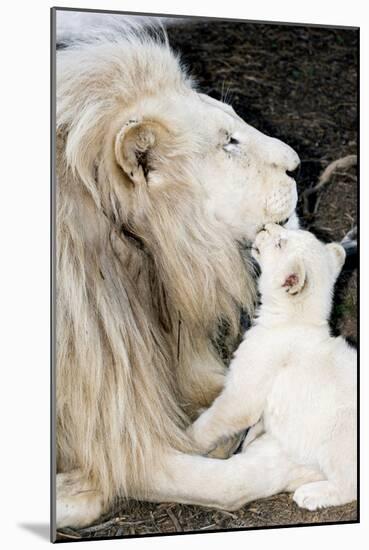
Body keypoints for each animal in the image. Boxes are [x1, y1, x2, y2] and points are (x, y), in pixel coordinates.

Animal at [188, 224, 356, 512]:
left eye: (280, 243)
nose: (266, 226)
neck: (294, 320)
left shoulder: (243, 394)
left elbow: (214, 420)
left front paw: (185, 439)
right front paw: (251, 439)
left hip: (339, 436)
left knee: (350, 483)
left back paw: (311, 495)